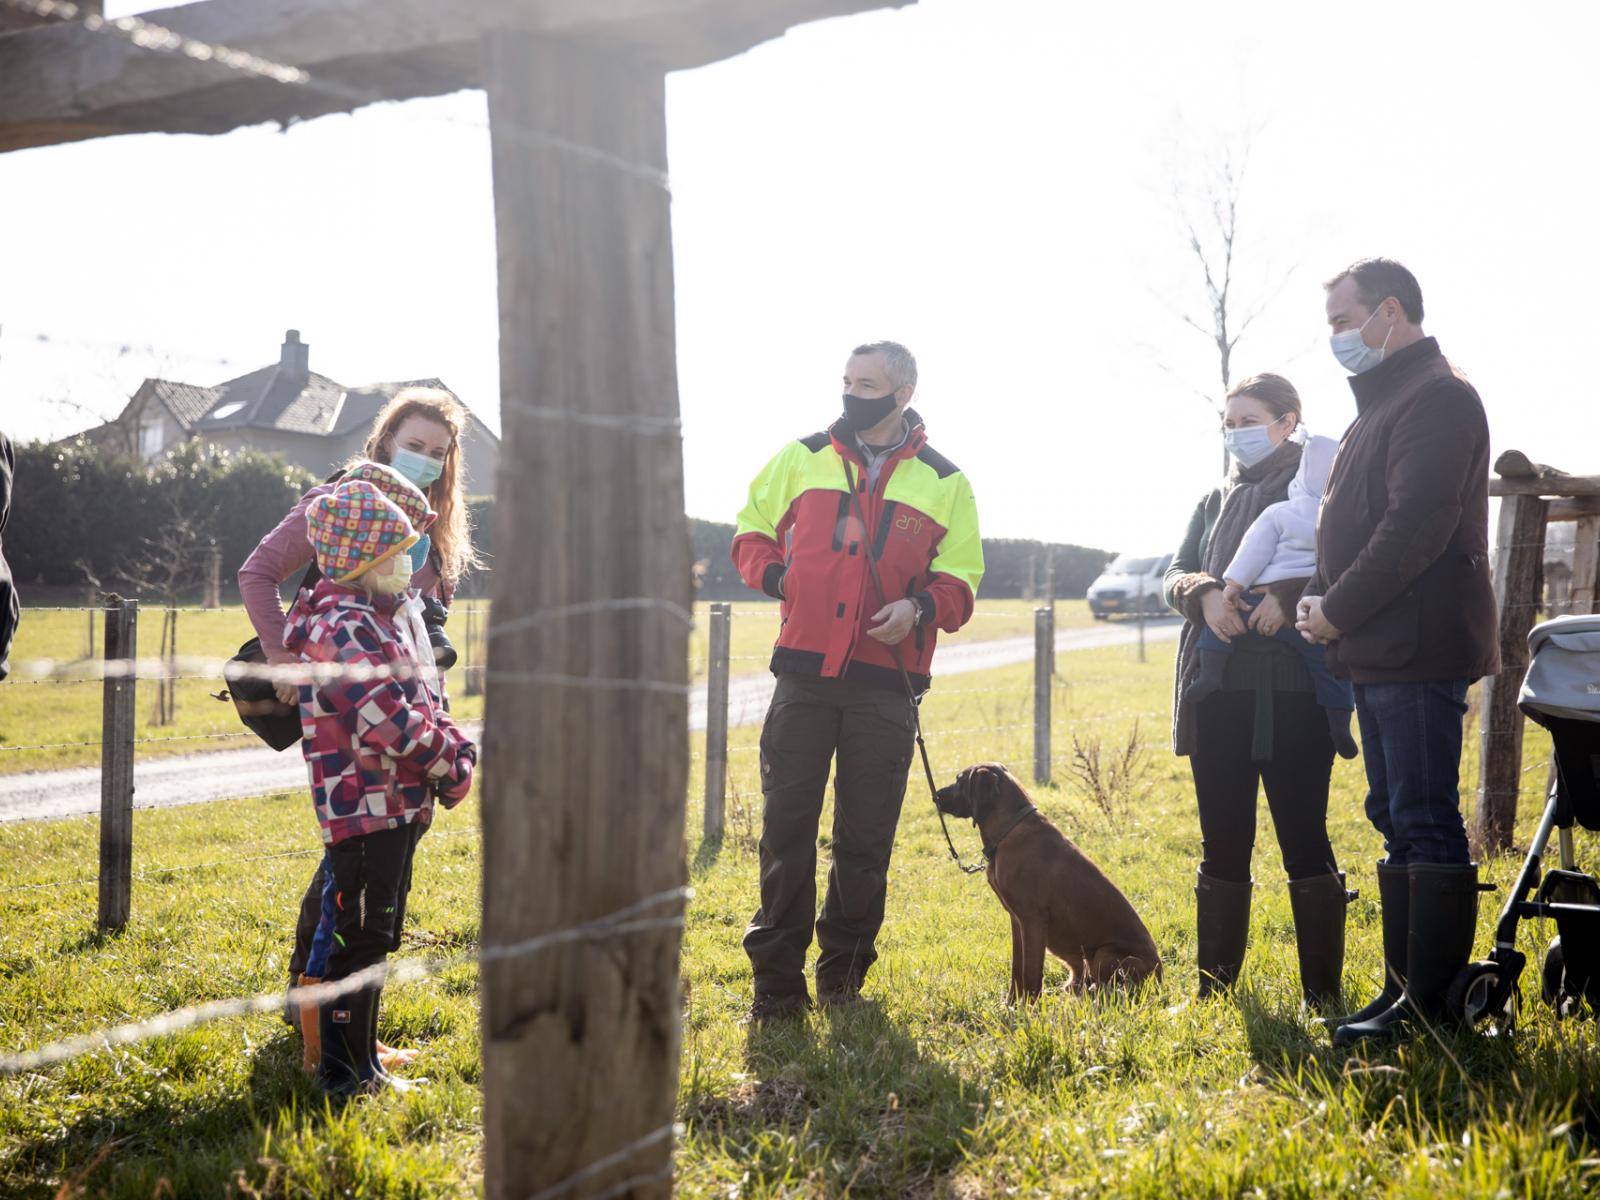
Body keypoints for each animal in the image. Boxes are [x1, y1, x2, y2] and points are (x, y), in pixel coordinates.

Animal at [928, 764, 1164, 998]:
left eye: (960, 780)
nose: (936, 795)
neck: (1009, 828)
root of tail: (1160, 975)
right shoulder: (1017, 920)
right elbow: (1017, 970)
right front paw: (1012, 1003)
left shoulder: (1032, 920)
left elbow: (1031, 974)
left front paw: (1027, 1007)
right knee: (1080, 976)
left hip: (1103, 955)